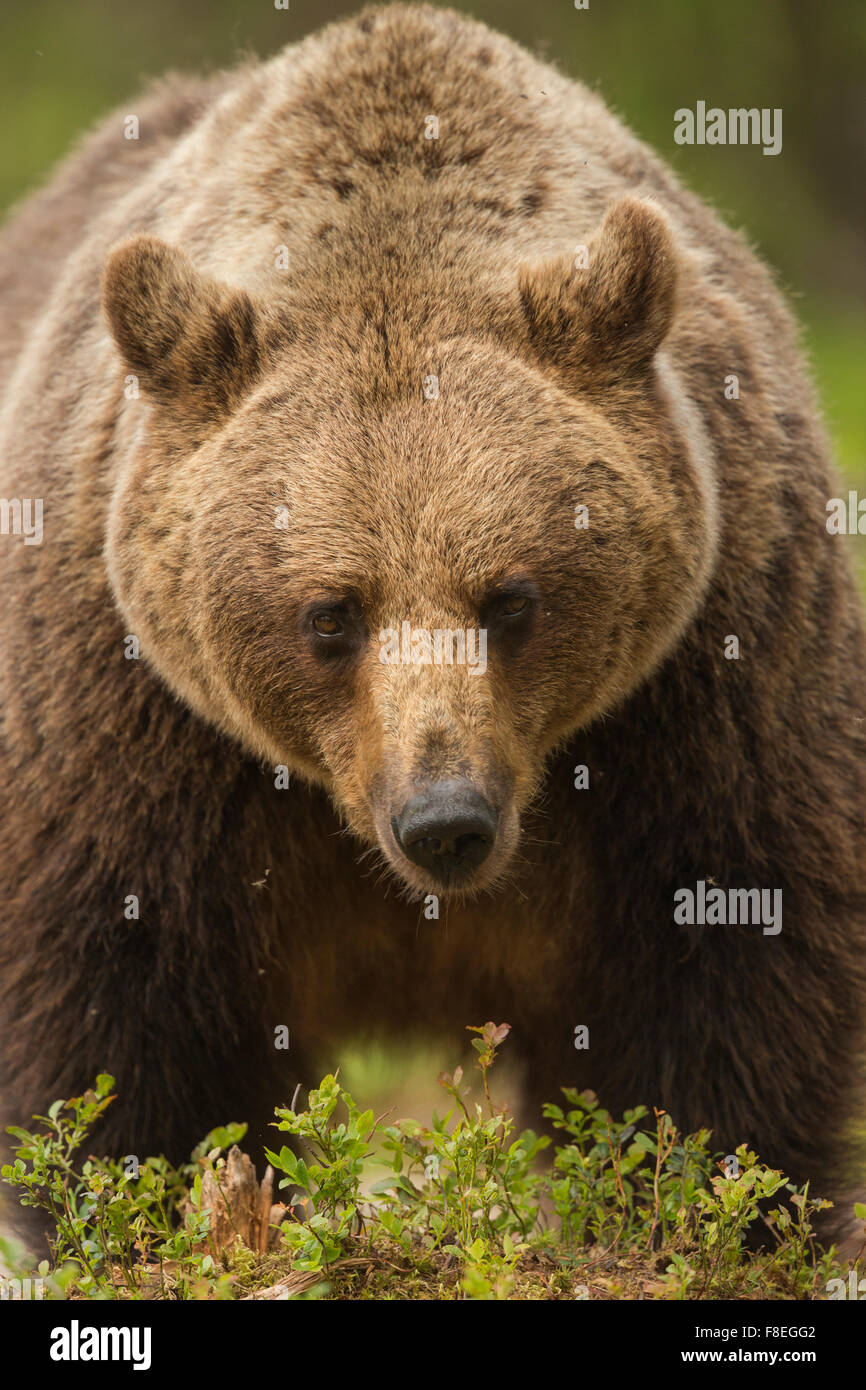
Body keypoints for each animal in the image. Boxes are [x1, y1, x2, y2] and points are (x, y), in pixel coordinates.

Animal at [1, 3, 864, 1253]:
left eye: (511, 598)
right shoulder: (129, 705)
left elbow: (727, 956)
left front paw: (709, 1209)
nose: (443, 818)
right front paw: (168, 1209)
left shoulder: (709, 673)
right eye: (330, 611)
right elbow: (126, 991)